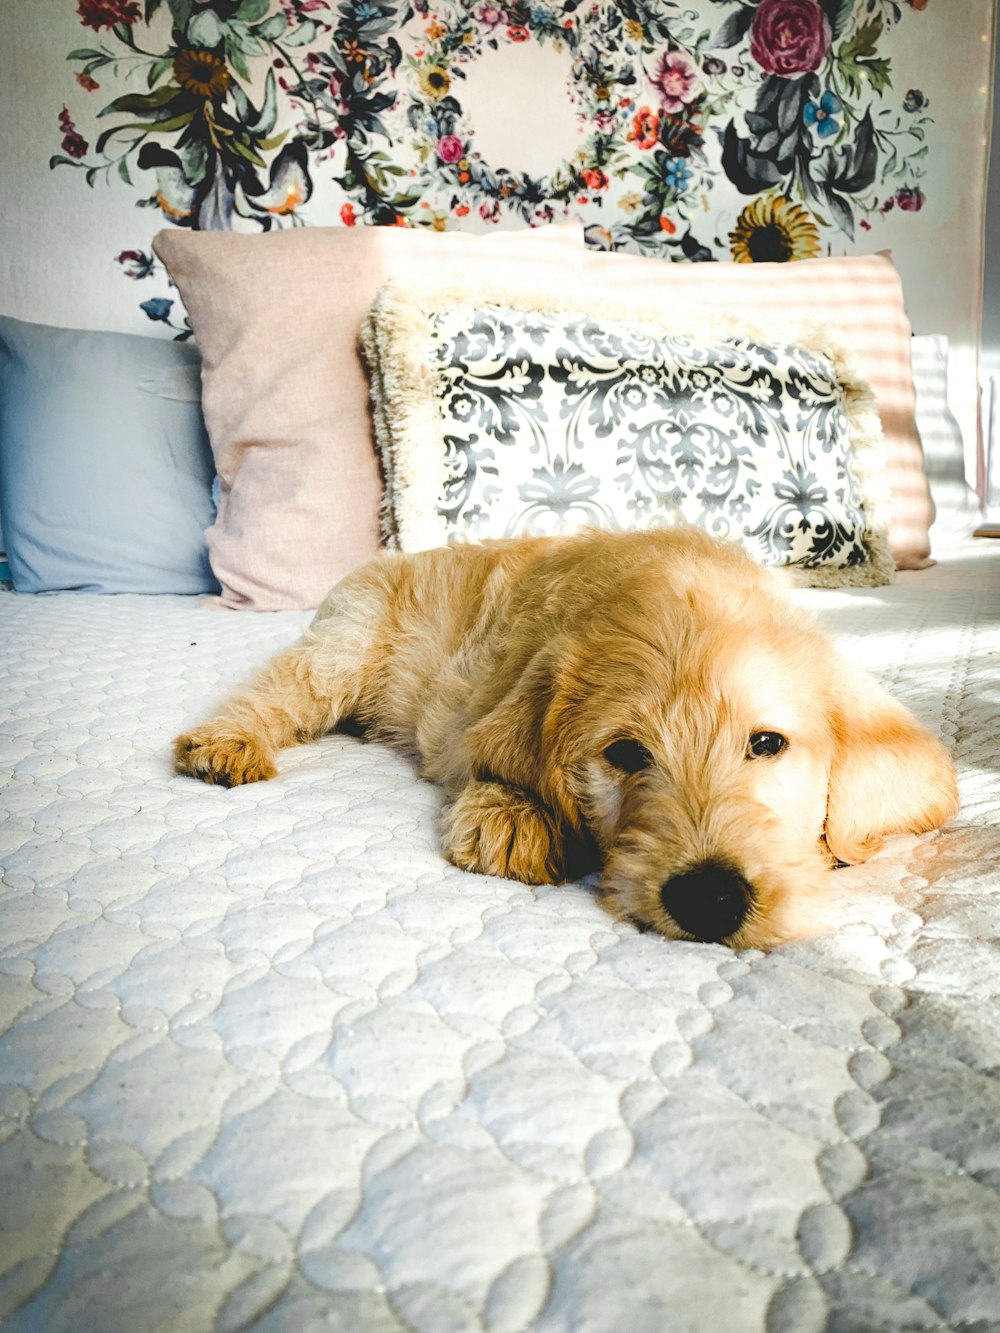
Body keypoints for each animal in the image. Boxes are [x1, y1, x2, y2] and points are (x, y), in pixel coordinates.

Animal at [174, 525, 965, 954]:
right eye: (625, 753)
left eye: (767, 744)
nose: (710, 898)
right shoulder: (470, 708)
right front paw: (512, 815)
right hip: (343, 645)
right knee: (278, 689)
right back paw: (223, 744)